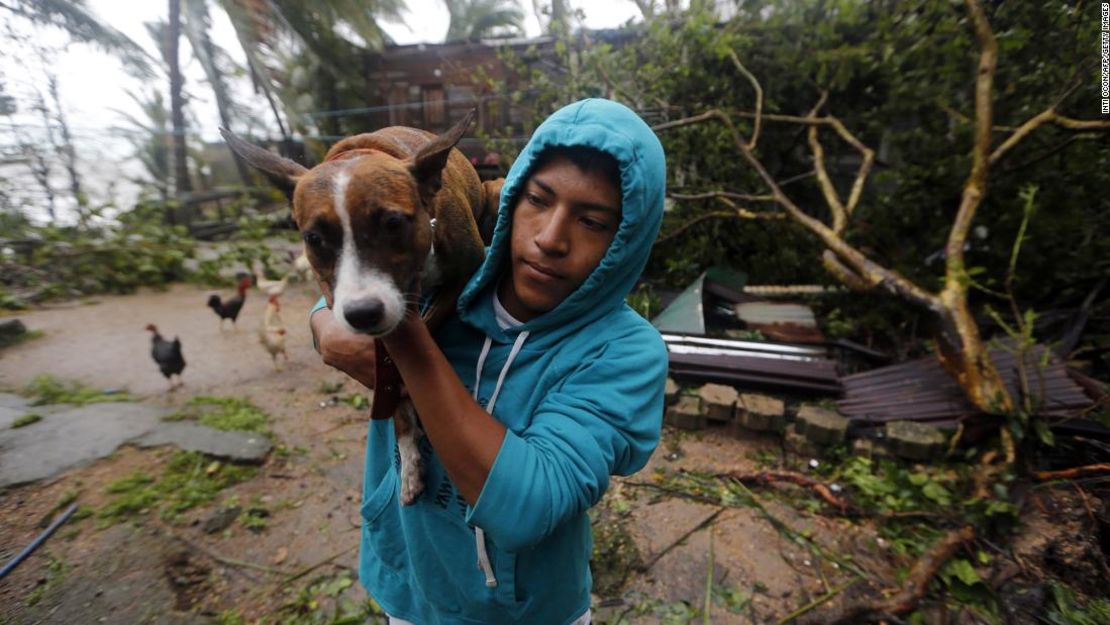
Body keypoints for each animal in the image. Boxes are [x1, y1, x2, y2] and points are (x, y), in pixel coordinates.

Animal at [223, 112, 501, 503]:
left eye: (393, 223)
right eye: (314, 239)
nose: (363, 314)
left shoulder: (462, 274)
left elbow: (411, 352)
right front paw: (408, 449)